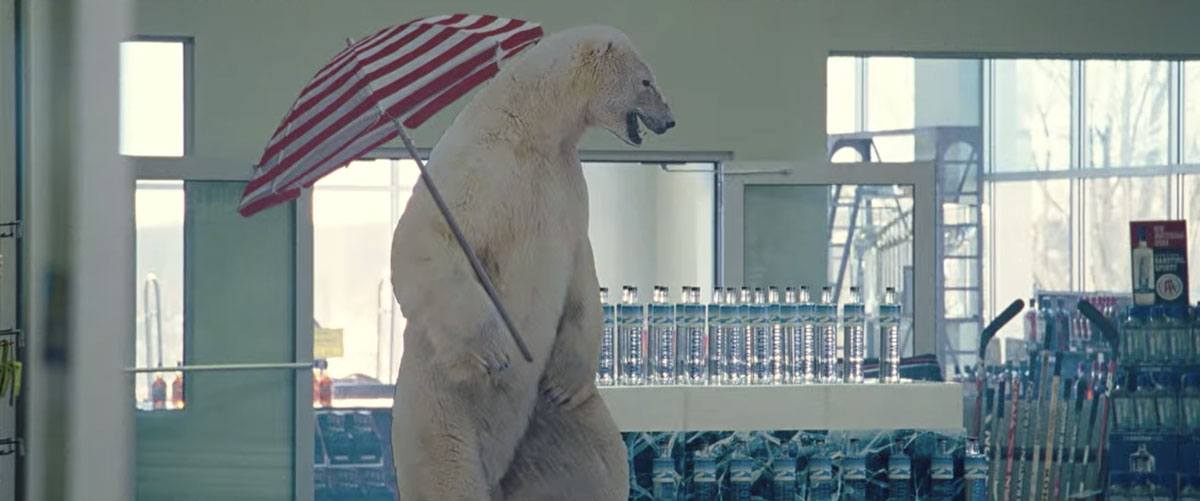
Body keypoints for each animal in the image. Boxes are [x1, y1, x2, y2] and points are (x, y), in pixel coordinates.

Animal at [391, 25, 676, 498]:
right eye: (646, 81)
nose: (670, 121)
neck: (531, 125)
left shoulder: (567, 184)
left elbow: (581, 271)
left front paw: (565, 380)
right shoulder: (484, 168)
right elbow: (433, 235)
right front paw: (493, 347)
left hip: (546, 421)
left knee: (594, 458)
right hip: (441, 407)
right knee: (448, 473)